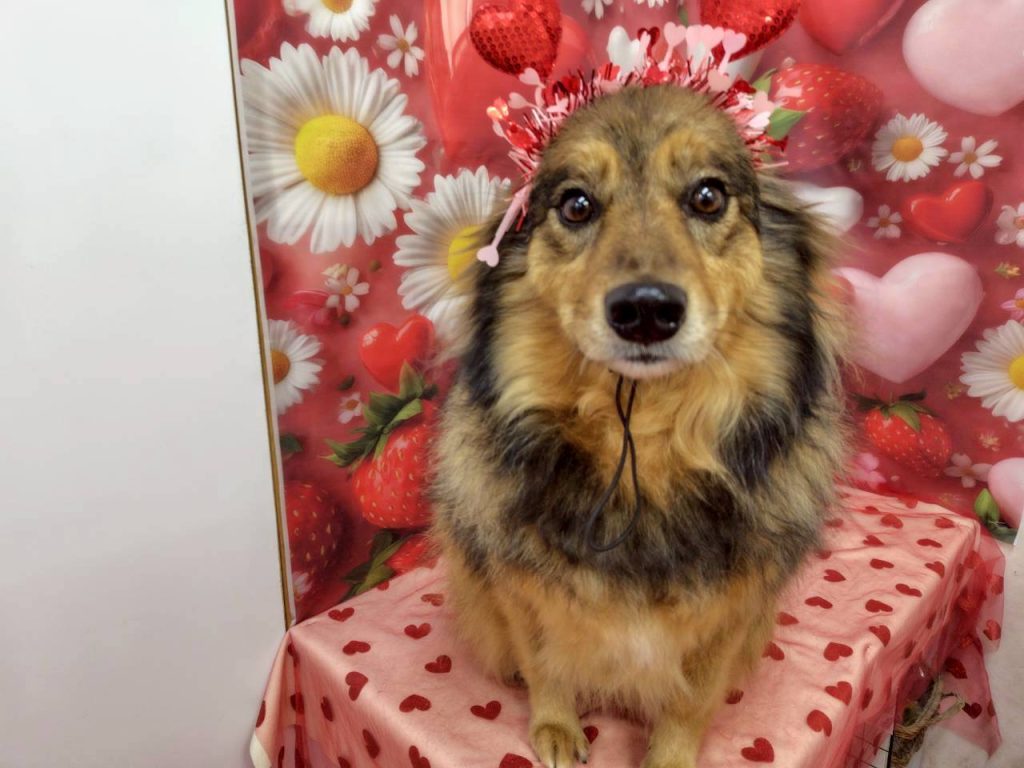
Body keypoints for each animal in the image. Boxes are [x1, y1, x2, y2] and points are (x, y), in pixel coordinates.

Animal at [430, 84, 846, 768]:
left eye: (707, 196)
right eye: (576, 205)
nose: (645, 311)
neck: (642, 444)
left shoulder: (730, 615)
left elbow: (690, 700)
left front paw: (669, 757)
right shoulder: (521, 590)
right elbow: (545, 664)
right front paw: (556, 729)